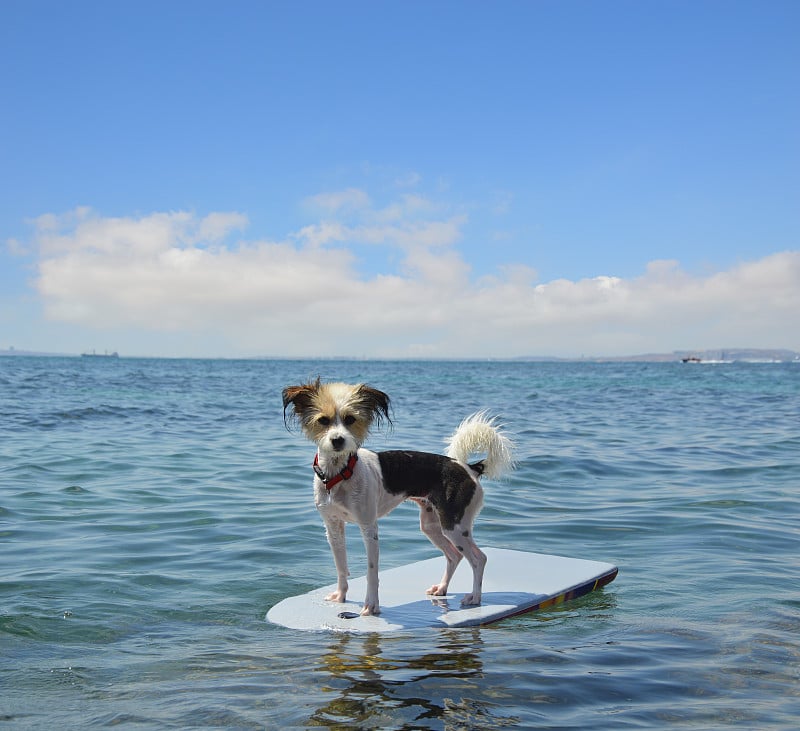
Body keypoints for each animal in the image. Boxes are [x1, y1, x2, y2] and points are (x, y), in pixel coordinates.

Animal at [284, 380, 516, 616]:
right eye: (323, 420)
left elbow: (371, 572)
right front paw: (340, 596)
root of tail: (470, 468)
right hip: (432, 526)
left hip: (454, 526)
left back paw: (475, 597)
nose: (338, 440)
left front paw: (371, 606)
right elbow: (341, 566)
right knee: (454, 555)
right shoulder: (333, 528)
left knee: (479, 559)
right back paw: (442, 588)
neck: (339, 475)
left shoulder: (369, 529)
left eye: (350, 419)